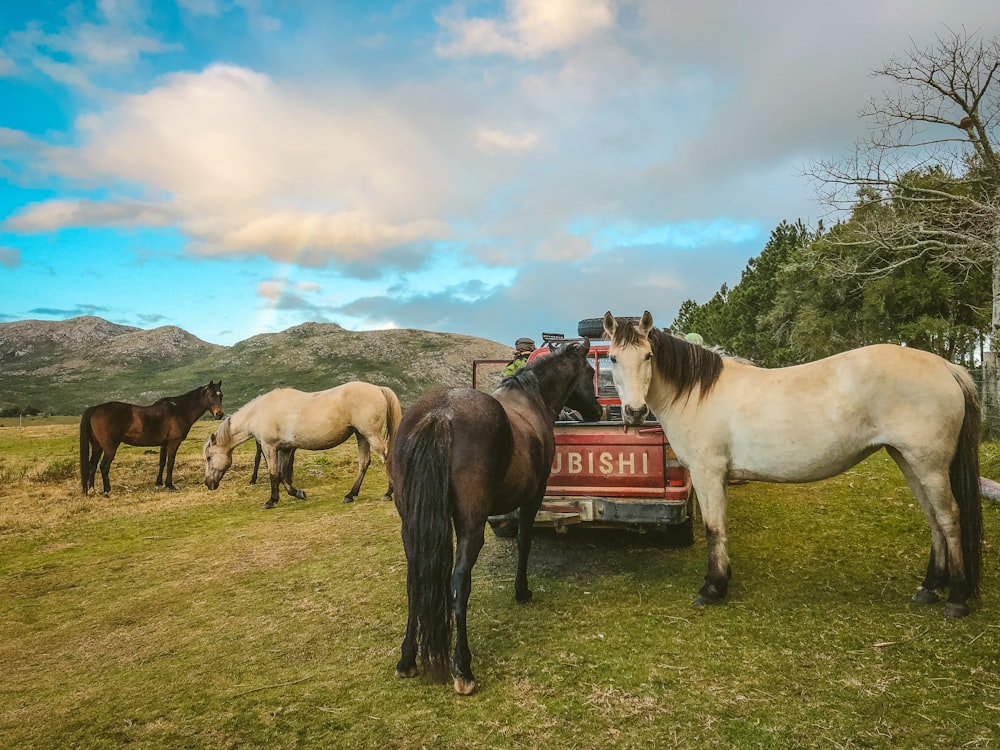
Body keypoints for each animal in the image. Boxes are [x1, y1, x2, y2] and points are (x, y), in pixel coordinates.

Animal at [80, 382, 225, 500]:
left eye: (221, 395)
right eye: (211, 395)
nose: (219, 414)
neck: (179, 410)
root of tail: (94, 408)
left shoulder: (164, 444)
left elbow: (162, 462)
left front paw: (159, 482)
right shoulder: (173, 443)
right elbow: (170, 463)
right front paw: (170, 485)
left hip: (97, 446)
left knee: (92, 465)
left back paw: (91, 490)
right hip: (109, 447)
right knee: (103, 466)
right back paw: (107, 490)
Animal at [203, 382, 402, 512]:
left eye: (209, 457)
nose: (208, 483)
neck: (259, 412)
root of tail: (378, 388)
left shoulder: (269, 447)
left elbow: (274, 473)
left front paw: (271, 501)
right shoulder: (285, 449)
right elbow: (283, 474)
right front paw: (298, 493)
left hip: (370, 434)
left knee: (386, 457)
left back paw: (388, 493)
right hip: (361, 435)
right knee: (364, 463)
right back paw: (350, 494)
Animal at [394, 342, 600, 700]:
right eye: (590, 371)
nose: (599, 411)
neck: (531, 399)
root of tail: (439, 414)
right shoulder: (533, 497)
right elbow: (524, 541)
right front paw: (522, 591)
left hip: (411, 529)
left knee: (414, 579)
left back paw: (407, 660)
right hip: (471, 528)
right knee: (459, 582)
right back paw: (463, 669)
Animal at [600, 314, 984, 620]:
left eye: (648, 356)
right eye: (613, 358)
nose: (634, 412)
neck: (697, 394)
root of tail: (946, 367)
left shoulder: (707, 474)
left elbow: (712, 529)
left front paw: (711, 589)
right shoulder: (718, 477)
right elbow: (721, 528)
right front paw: (722, 581)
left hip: (929, 464)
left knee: (949, 517)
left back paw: (957, 598)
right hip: (907, 460)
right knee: (933, 518)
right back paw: (929, 587)